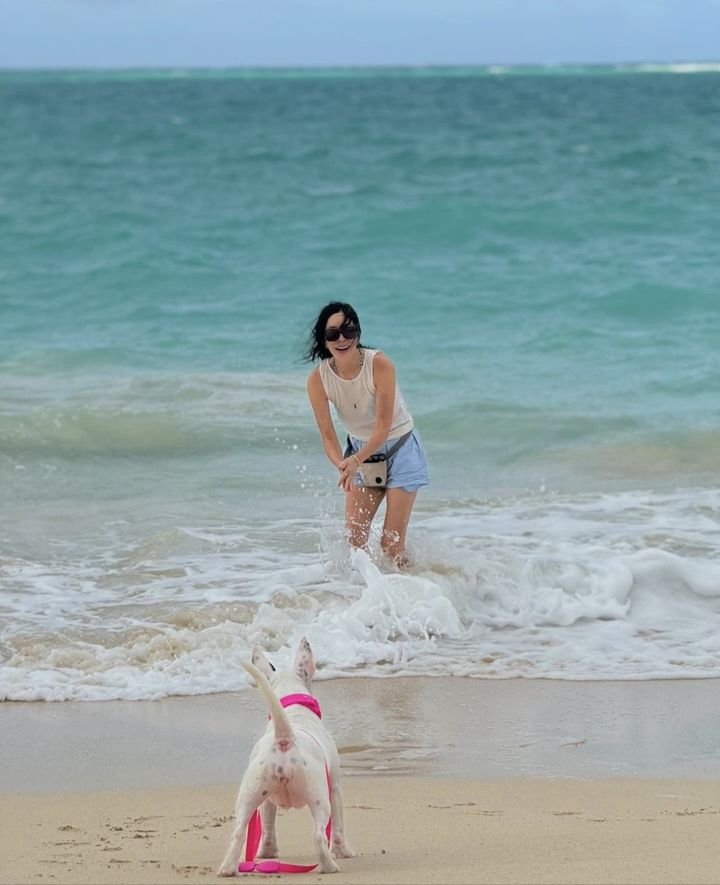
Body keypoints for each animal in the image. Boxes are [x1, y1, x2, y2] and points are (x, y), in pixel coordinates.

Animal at [218, 640, 356, 872]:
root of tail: (285, 739)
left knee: (238, 832)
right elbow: (338, 827)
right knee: (319, 836)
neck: (293, 711)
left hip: (250, 794)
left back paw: (228, 869)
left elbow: (267, 825)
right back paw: (329, 865)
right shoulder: (335, 789)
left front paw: (267, 852)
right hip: (320, 798)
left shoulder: (267, 801)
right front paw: (343, 852)